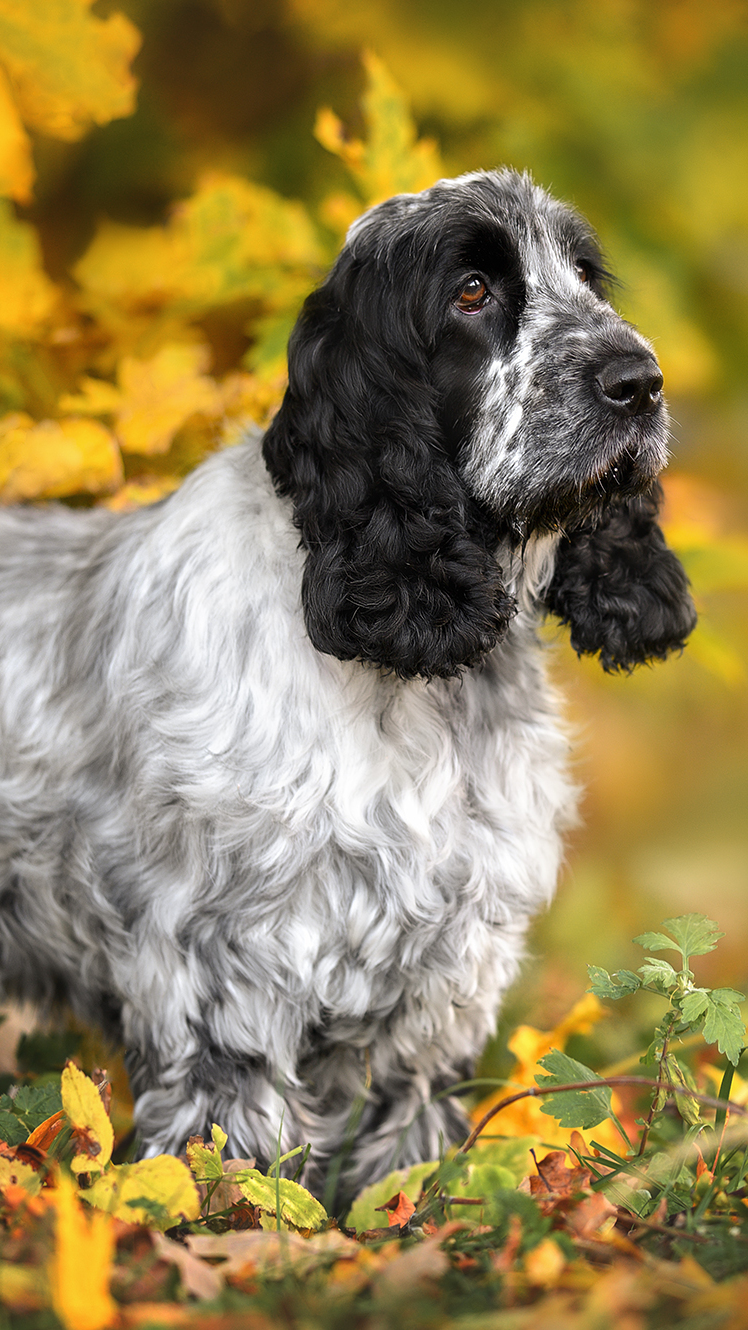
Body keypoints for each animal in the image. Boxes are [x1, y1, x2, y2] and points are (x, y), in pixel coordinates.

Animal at [0, 171, 692, 1202]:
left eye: (584, 275)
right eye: (472, 291)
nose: (639, 381)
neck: (418, 679)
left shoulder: (446, 960)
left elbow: (407, 1130)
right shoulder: (225, 955)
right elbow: (233, 1136)